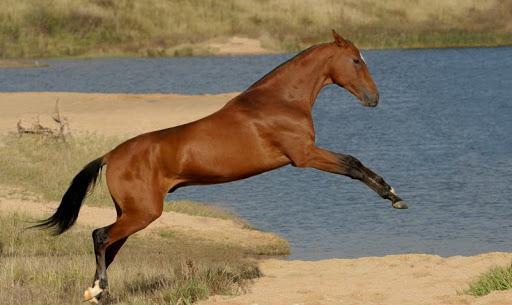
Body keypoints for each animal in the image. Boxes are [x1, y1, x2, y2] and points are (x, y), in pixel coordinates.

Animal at [34, 29, 408, 300]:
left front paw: (395, 195)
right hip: (143, 213)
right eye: (356, 60)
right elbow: (352, 164)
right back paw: (98, 288)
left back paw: (95, 291)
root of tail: (110, 155)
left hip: (130, 213)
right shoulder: (304, 156)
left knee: (109, 247)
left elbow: (354, 163)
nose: (373, 98)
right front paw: (394, 196)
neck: (280, 101)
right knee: (100, 236)